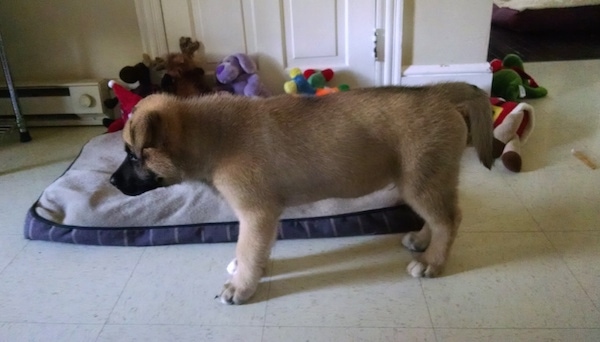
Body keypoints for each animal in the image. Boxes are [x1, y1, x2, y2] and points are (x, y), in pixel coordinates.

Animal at [111, 82, 492, 304]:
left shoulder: (256, 214)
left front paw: (241, 286)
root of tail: (439, 94)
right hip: (426, 181)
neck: (212, 136)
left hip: (421, 181)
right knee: (439, 217)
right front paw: (252, 272)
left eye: (134, 155)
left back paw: (432, 262)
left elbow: (248, 247)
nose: (112, 182)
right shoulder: (265, 217)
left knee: (449, 220)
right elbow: (258, 249)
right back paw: (423, 240)